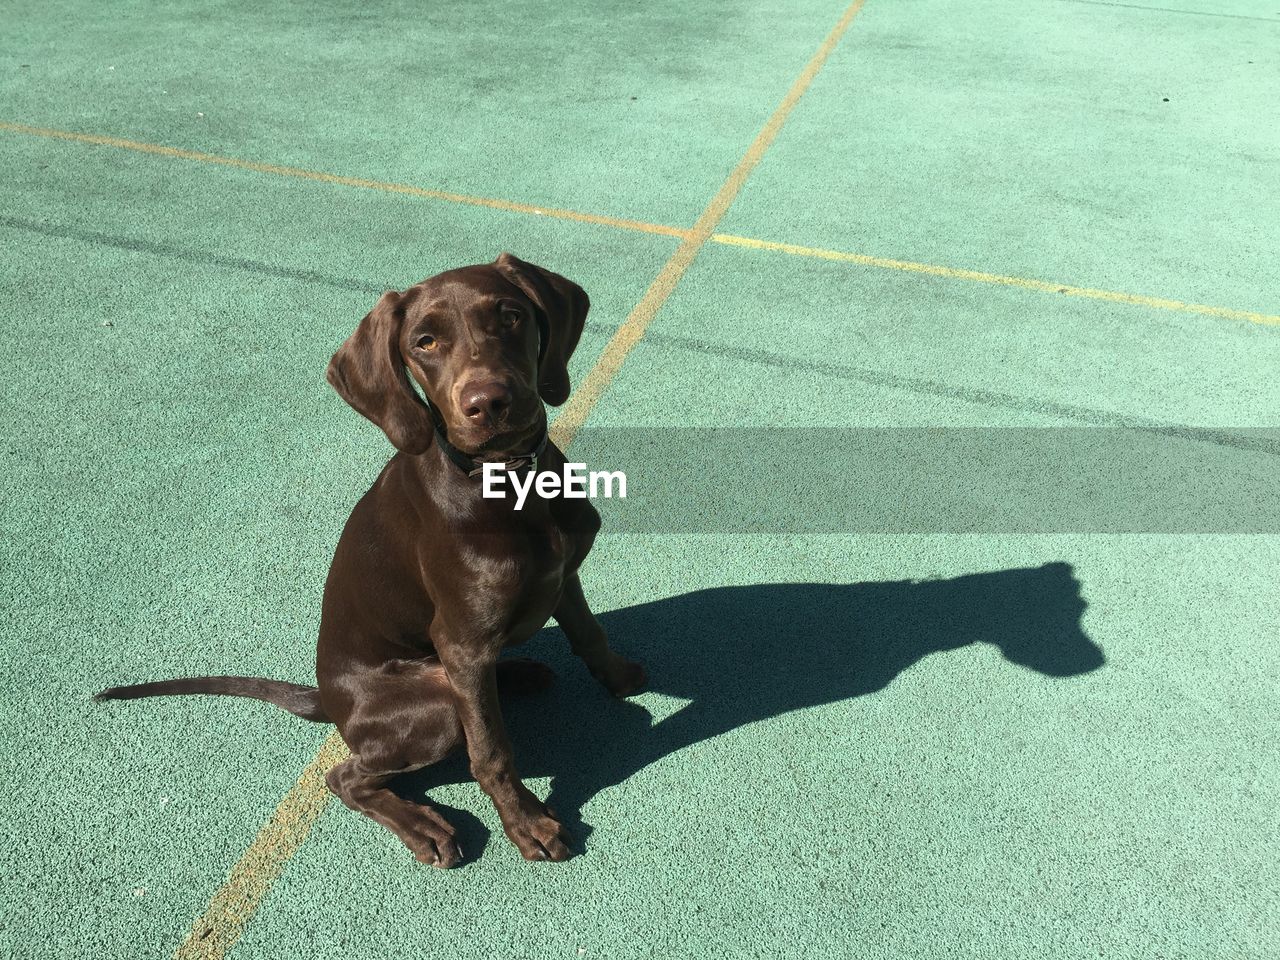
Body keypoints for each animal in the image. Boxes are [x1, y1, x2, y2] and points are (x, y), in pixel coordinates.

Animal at [94, 253, 645, 865]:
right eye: (425, 342)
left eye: (511, 315)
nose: (489, 404)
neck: (512, 482)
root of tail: (331, 702)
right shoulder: (460, 639)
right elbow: (492, 751)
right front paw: (525, 821)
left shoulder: (561, 574)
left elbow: (588, 631)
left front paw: (620, 675)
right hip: (434, 705)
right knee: (348, 775)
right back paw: (423, 826)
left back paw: (516, 673)